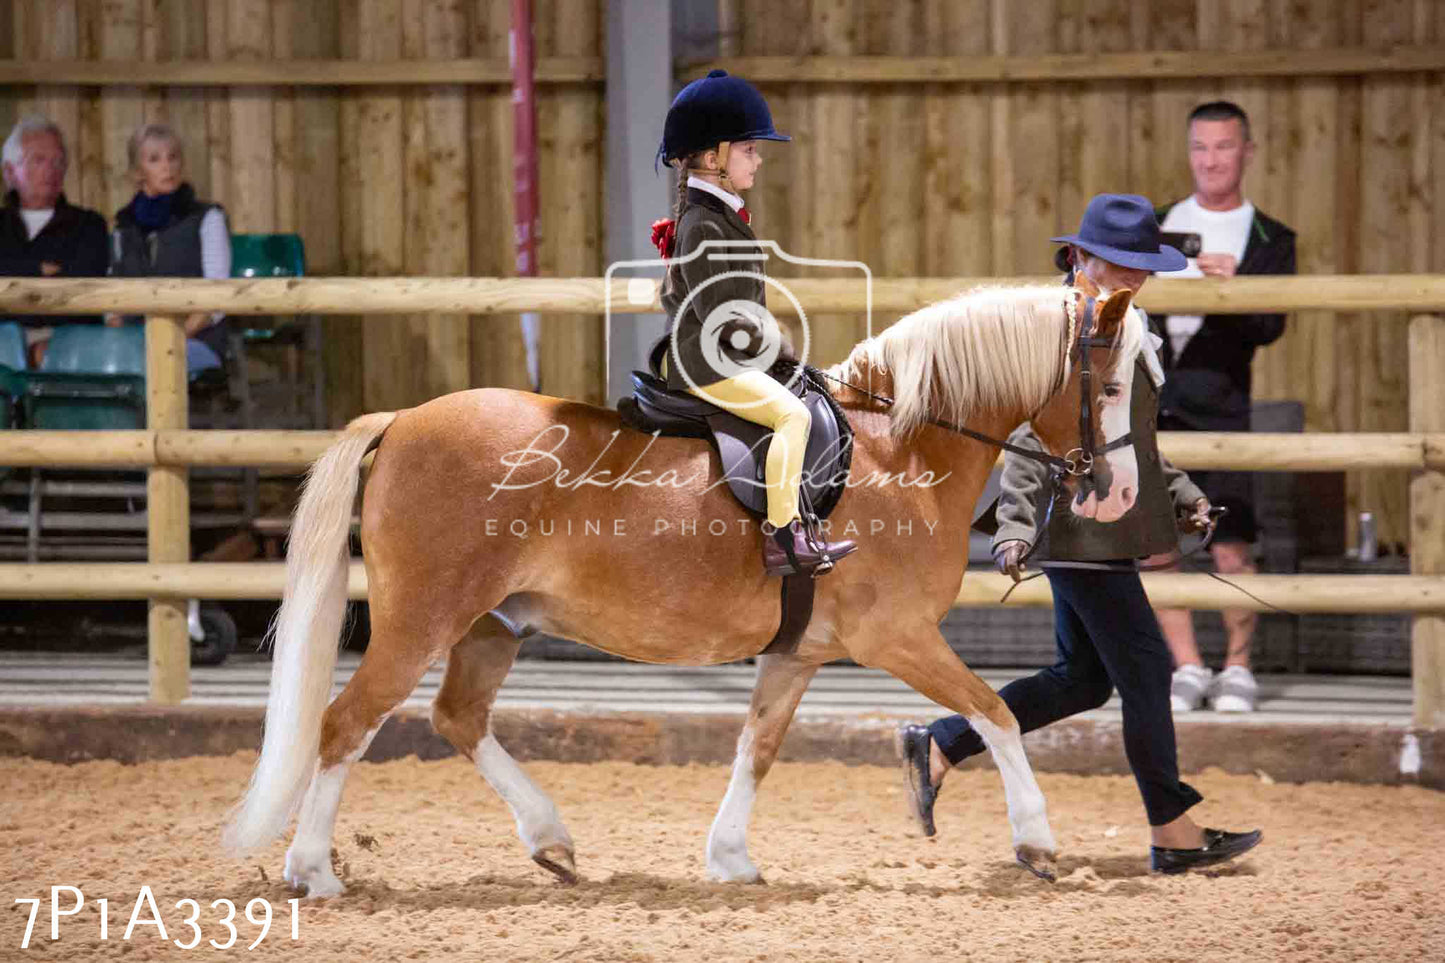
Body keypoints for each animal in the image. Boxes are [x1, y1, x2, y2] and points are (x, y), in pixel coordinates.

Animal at [222, 281, 1138, 896]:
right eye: (1114, 384)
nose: (1117, 488)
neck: (896, 448)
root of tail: (403, 420)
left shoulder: (800, 652)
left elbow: (757, 746)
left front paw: (729, 857)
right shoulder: (899, 638)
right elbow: (996, 712)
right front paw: (1037, 841)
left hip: (491, 623)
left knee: (458, 717)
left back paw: (550, 840)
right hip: (422, 620)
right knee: (346, 723)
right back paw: (312, 870)